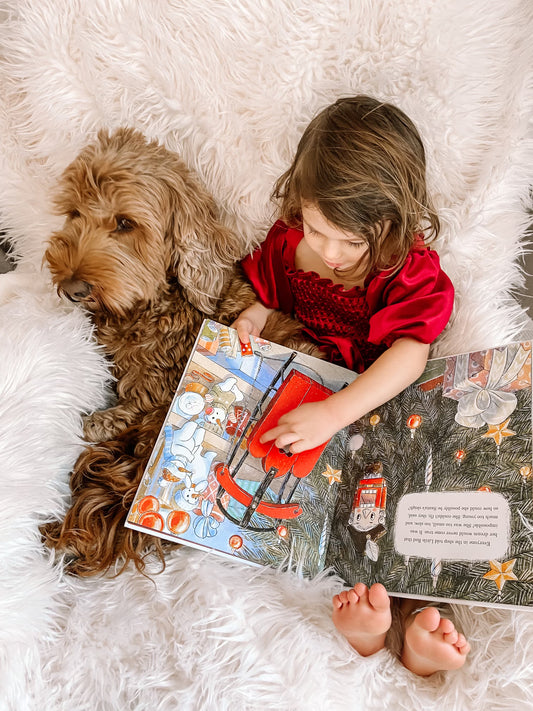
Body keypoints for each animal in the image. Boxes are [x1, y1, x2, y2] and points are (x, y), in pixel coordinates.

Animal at [42, 128, 316, 580]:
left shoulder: (153, 392)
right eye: (74, 214)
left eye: (125, 223)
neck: (158, 300)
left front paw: (99, 422)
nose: (72, 287)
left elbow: (124, 409)